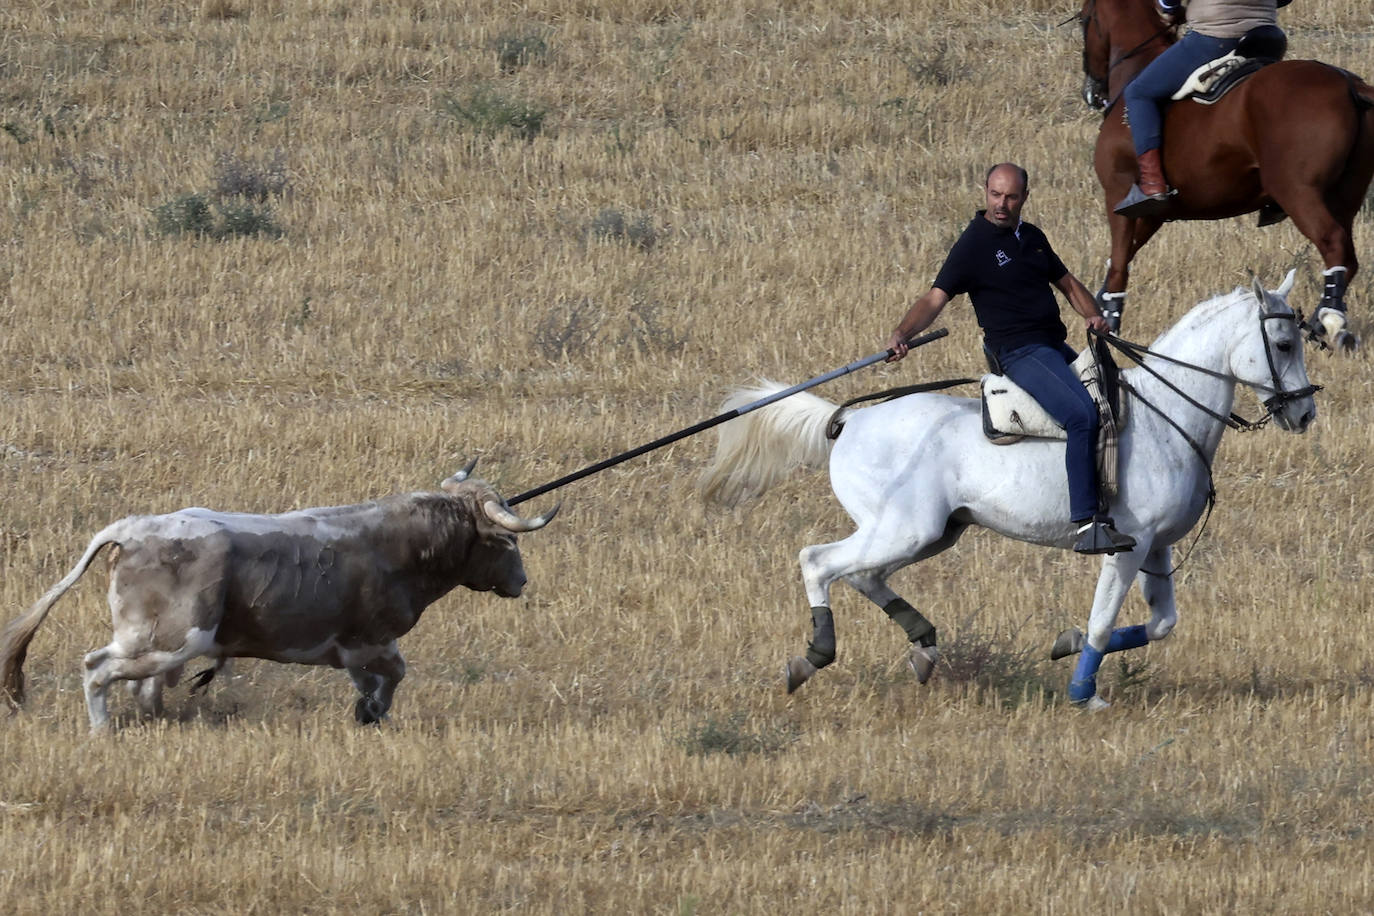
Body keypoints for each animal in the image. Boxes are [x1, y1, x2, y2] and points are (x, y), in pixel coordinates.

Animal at [2, 461, 557, 736]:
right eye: (507, 543)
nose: (522, 580)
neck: (398, 545)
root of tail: (133, 529)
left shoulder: (353, 649)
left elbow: (372, 681)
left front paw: (368, 714)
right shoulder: (370, 640)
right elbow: (394, 674)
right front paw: (374, 712)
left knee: (140, 686)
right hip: (168, 640)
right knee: (97, 668)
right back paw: (102, 732)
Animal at [703, 274, 1313, 708]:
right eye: (1283, 343)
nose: (1304, 413)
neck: (1166, 414)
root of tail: (849, 419)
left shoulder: (1157, 548)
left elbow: (1161, 624)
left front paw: (1065, 644)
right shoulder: (1128, 546)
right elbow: (1102, 619)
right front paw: (1083, 695)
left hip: (931, 533)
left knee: (862, 575)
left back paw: (924, 649)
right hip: (904, 530)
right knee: (819, 561)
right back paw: (812, 657)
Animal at [1077, 0, 1374, 351]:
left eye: (1084, 19)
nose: (1091, 93)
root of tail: (1349, 84)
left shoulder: (1119, 195)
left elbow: (1120, 257)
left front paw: (1109, 320)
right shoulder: (1152, 213)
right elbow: (1122, 255)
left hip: (1299, 193)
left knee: (1334, 244)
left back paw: (1330, 321)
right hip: (1346, 196)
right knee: (1348, 258)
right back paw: (1317, 323)